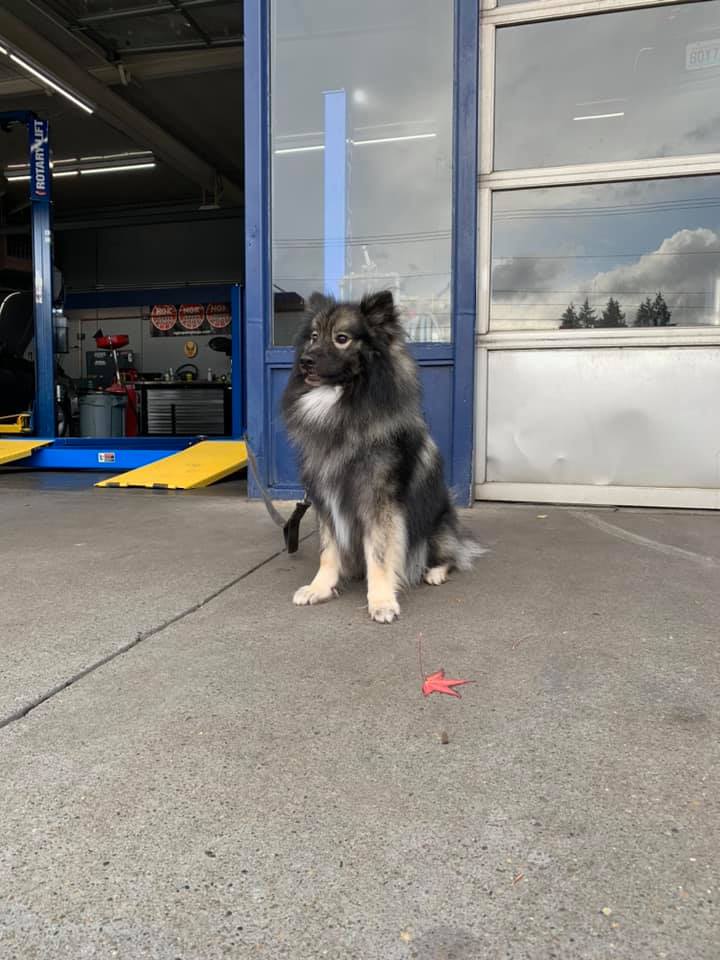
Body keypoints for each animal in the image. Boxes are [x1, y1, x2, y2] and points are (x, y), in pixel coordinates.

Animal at [281, 290, 482, 623]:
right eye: (313, 337)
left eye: (342, 338)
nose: (305, 361)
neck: (343, 405)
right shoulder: (326, 498)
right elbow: (328, 551)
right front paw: (319, 588)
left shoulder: (379, 503)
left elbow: (379, 555)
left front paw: (382, 601)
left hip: (436, 527)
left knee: (452, 555)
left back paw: (434, 572)